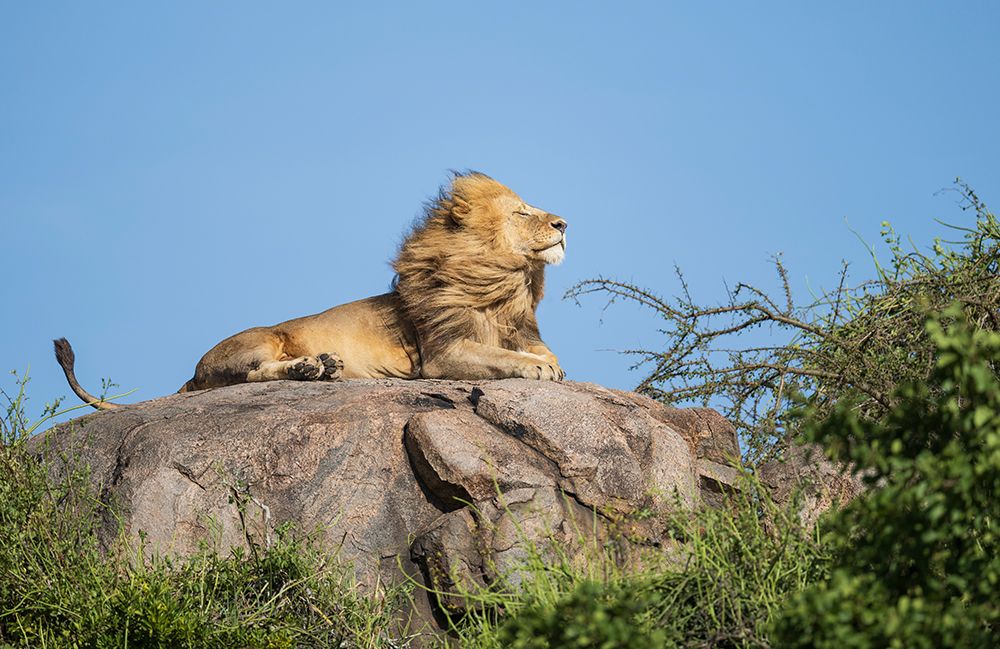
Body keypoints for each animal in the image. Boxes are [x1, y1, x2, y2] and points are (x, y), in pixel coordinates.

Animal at [55, 172, 568, 410]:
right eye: (523, 212)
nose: (564, 224)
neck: (506, 286)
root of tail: (192, 375)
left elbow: (537, 351)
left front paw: (549, 363)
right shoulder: (442, 356)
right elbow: (500, 357)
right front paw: (538, 369)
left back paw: (322, 367)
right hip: (259, 338)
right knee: (253, 375)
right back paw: (308, 367)